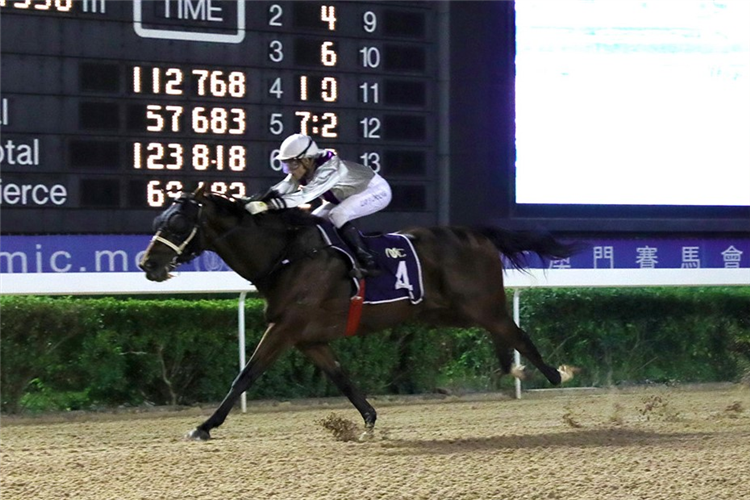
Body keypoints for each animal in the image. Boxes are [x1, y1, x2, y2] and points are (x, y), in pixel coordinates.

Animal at [138, 188, 580, 442]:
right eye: (158, 220)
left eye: (176, 224)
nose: (147, 263)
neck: (286, 255)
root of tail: (477, 234)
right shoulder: (309, 338)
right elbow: (342, 378)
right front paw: (366, 421)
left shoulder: (285, 328)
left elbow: (245, 375)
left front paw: (204, 426)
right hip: (446, 312)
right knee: (500, 334)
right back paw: (515, 369)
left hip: (479, 303)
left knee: (516, 332)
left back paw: (556, 374)